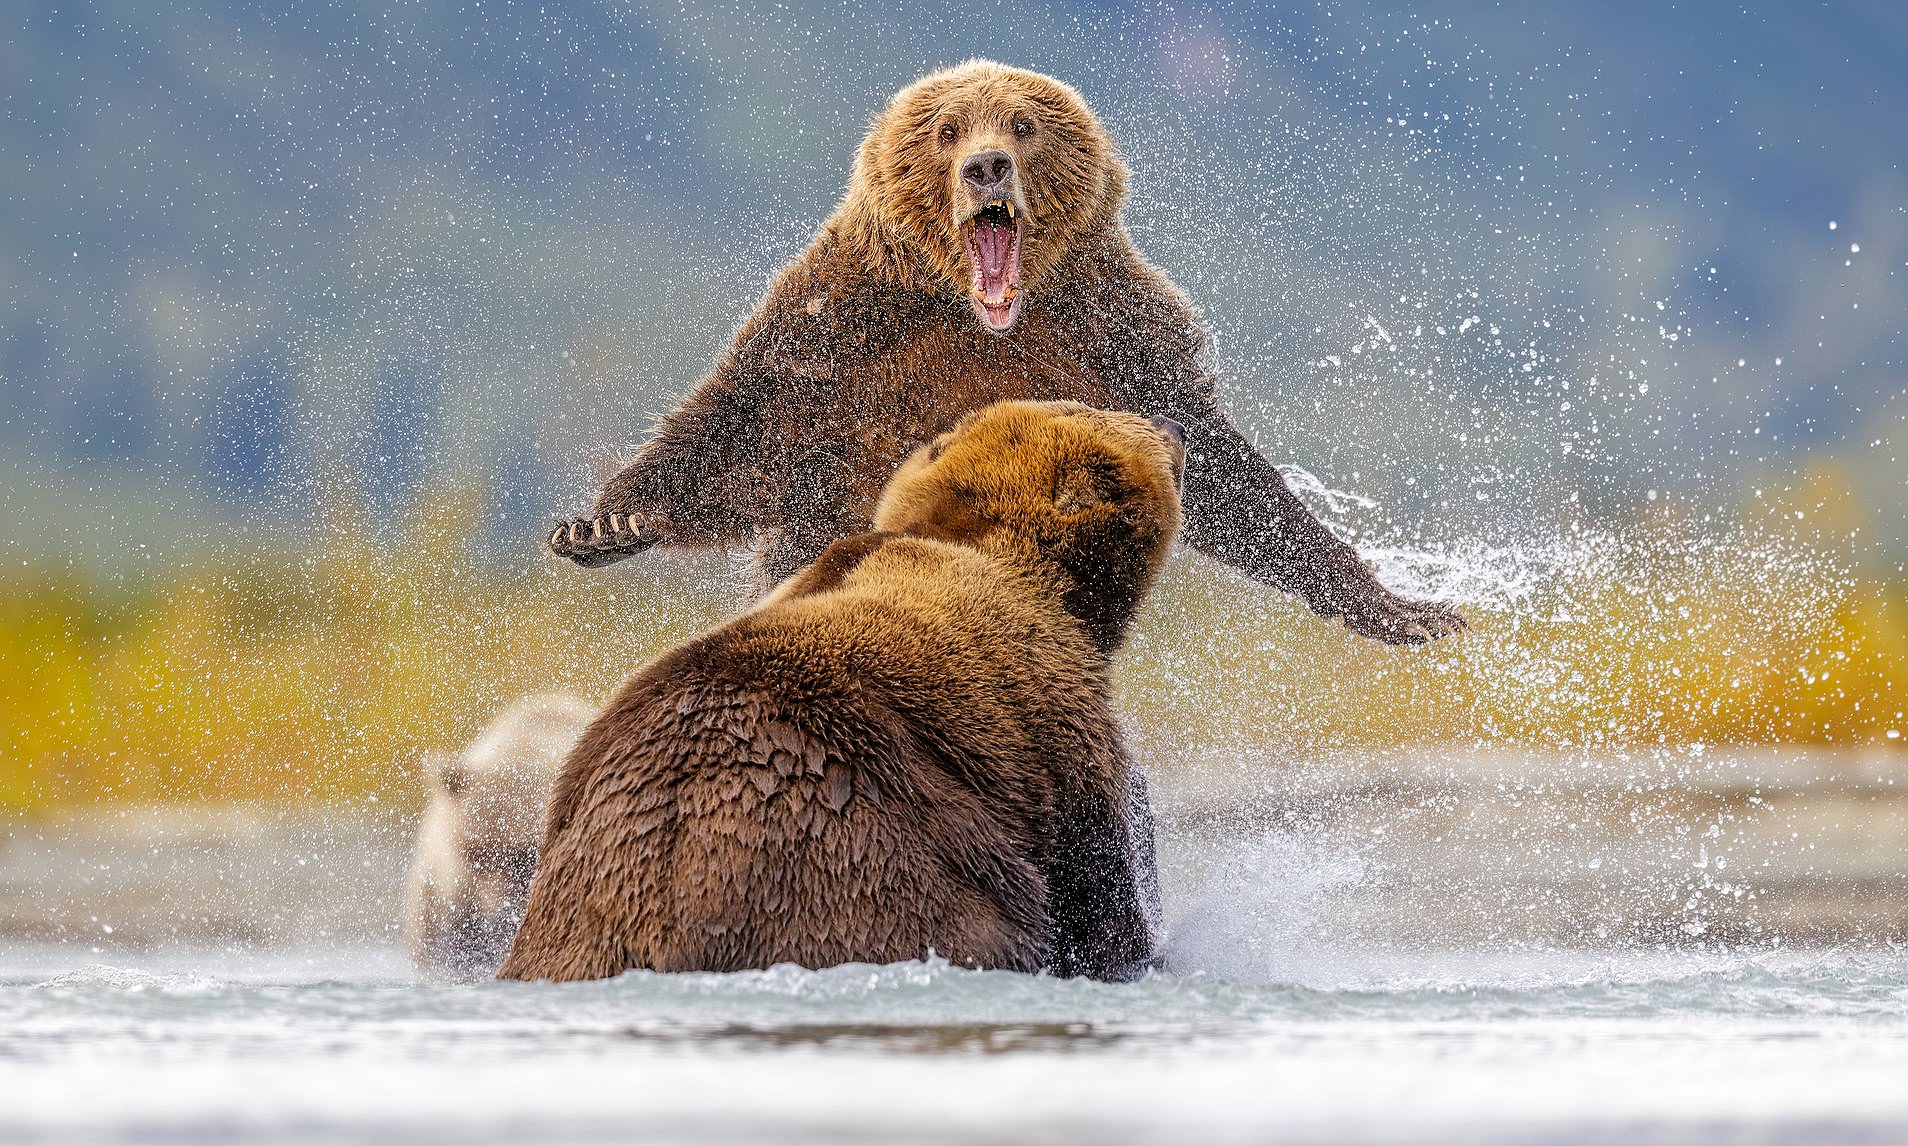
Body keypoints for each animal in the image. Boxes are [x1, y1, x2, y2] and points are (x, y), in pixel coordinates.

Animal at [498, 400, 1183, 983]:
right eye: (1098, 411)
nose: (1172, 425)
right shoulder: (1053, 712)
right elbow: (1097, 877)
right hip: (869, 862)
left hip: (577, 905)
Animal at [546, 59, 1461, 647]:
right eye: (948, 129)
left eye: (1022, 124)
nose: (987, 166)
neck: (982, 318)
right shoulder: (842, 332)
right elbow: (742, 424)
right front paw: (606, 521)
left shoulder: (1110, 332)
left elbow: (1219, 467)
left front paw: (1405, 607)